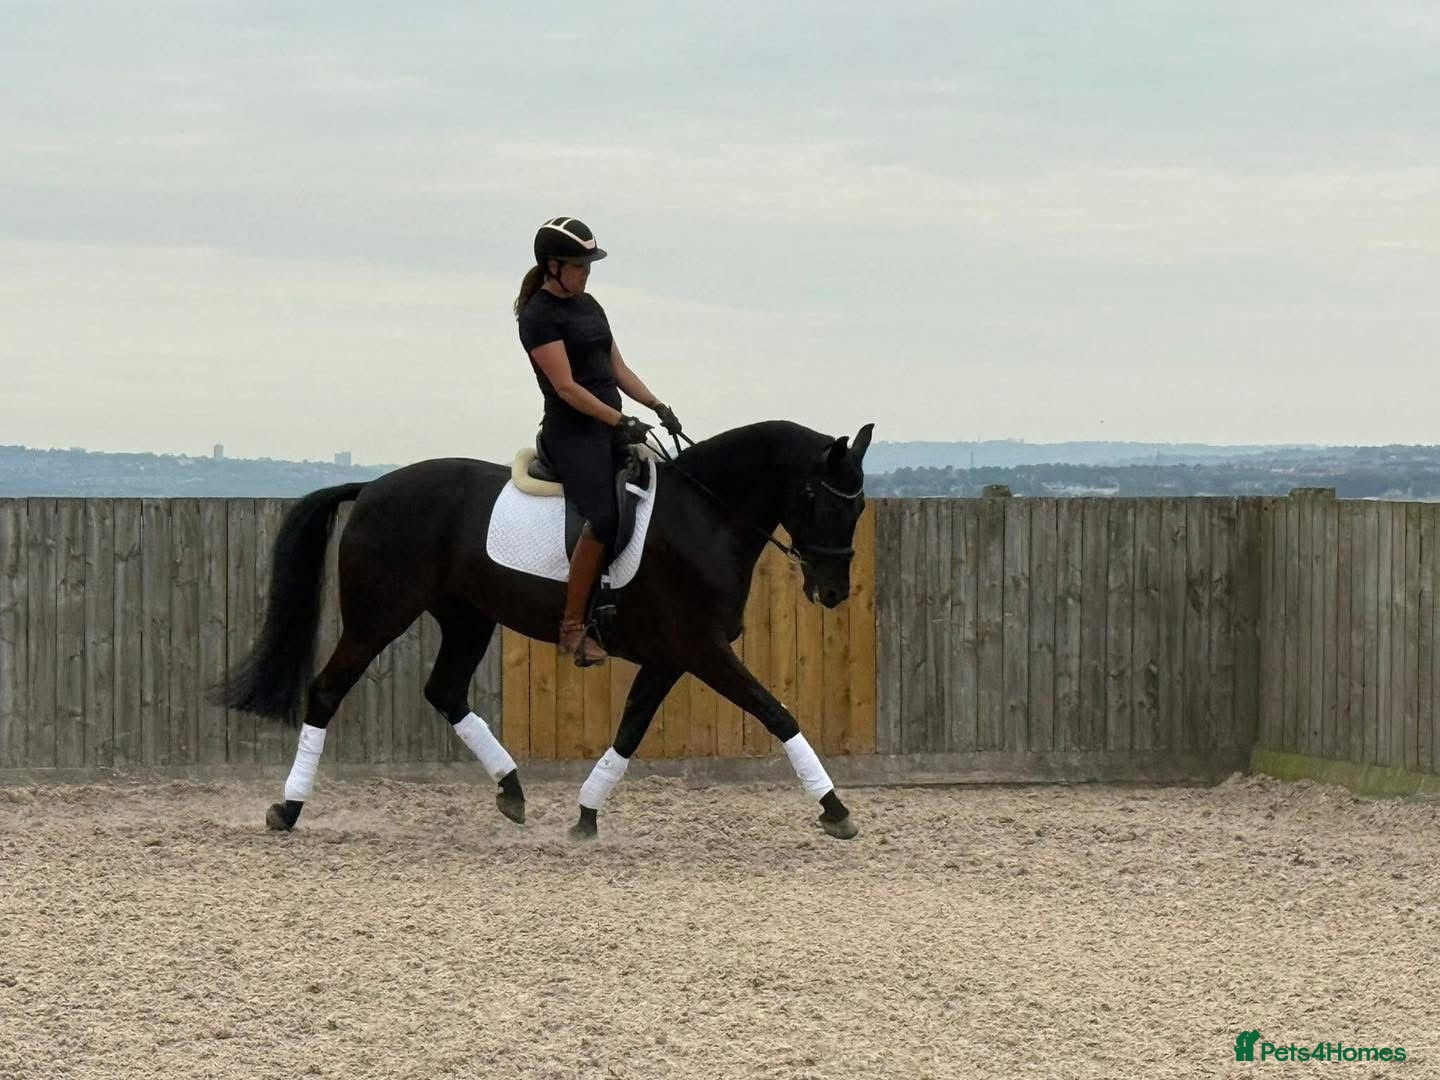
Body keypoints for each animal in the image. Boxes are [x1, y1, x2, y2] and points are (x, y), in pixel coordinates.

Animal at [219, 419, 874, 841]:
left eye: (859, 508)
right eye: (826, 502)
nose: (833, 592)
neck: (706, 516)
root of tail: (375, 486)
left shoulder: (671, 657)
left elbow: (630, 729)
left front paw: (585, 814)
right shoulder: (701, 650)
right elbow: (777, 714)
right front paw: (835, 809)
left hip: (468, 617)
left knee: (445, 691)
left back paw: (512, 791)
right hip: (379, 616)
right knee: (328, 690)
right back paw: (288, 808)